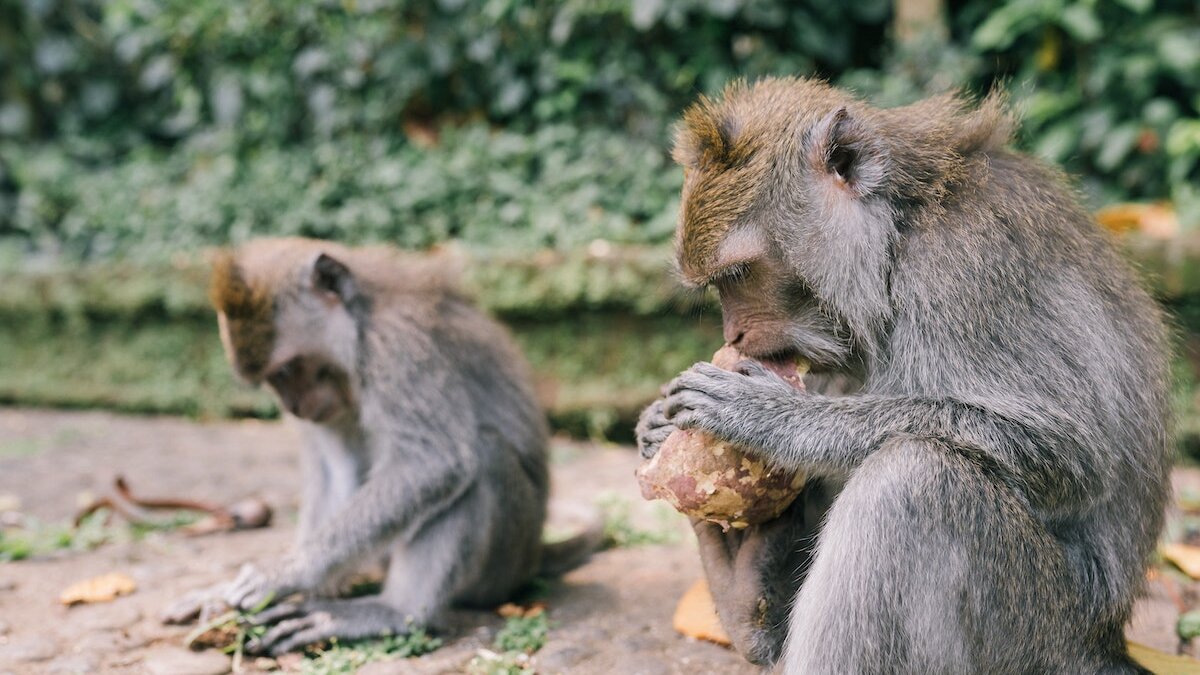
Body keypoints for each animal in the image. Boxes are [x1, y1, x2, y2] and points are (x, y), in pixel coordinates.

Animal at [162, 236, 600, 653]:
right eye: (272, 379)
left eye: (286, 369)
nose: (293, 407)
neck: (361, 321)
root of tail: (536, 553)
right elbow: (336, 471)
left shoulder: (397, 345)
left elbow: (433, 462)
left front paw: (290, 572)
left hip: (506, 562)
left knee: (483, 461)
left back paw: (394, 611)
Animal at [638, 76, 1171, 667]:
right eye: (718, 283)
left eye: (738, 273)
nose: (733, 336)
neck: (901, 229)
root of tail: (1106, 641)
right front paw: (655, 424)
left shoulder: (961, 273)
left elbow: (1072, 454)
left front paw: (766, 415)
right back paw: (744, 582)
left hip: (1040, 634)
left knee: (910, 481)